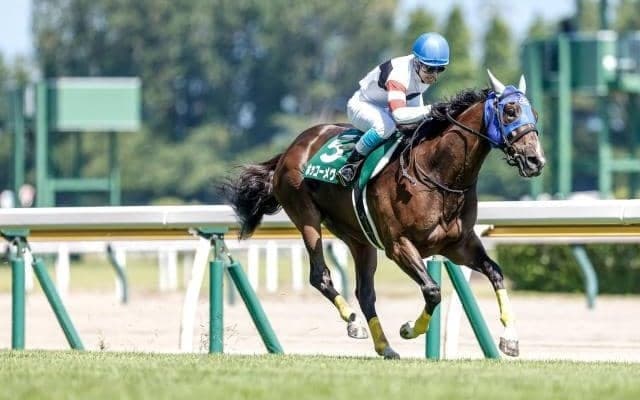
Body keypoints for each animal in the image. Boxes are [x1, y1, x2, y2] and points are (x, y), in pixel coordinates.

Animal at [220, 70, 546, 359]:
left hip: (359, 238)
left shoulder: (459, 245)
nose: (535, 160)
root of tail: (292, 147)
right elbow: (432, 290)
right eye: (510, 111)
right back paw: (353, 322)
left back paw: (384, 346)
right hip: (307, 217)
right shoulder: (399, 245)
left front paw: (510, 339)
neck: (437, 174)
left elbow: (495, 273)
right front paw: (410, 329)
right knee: (320, 276)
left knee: (365, 292)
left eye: (535, 115)